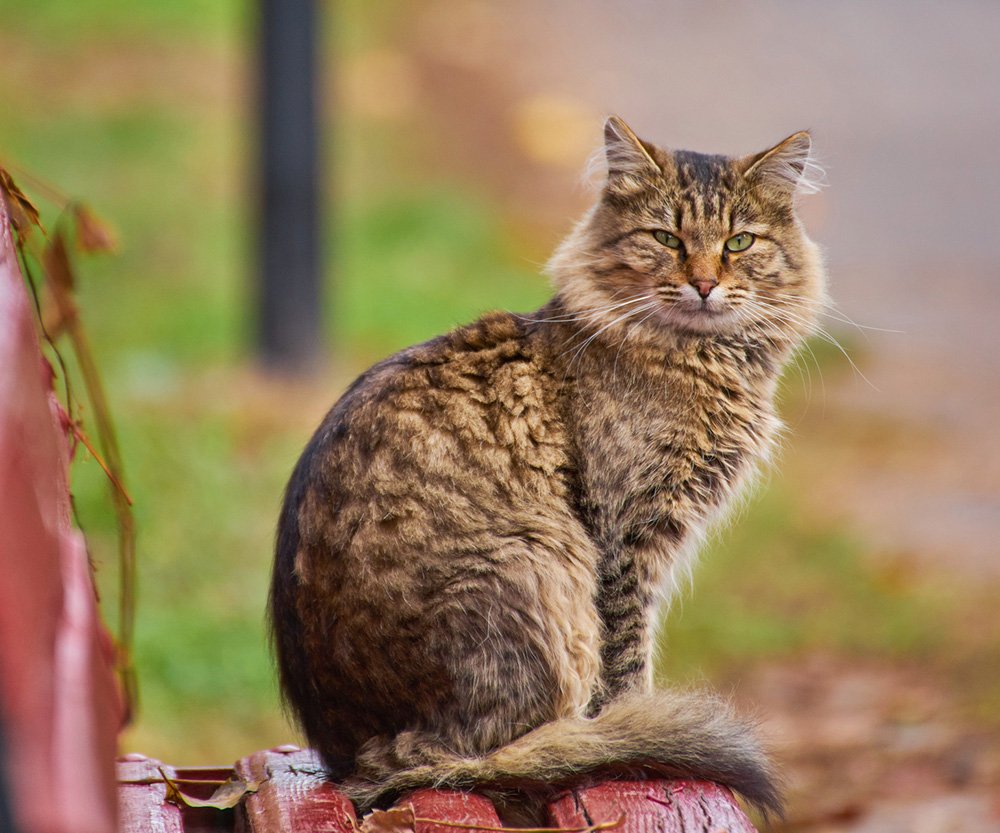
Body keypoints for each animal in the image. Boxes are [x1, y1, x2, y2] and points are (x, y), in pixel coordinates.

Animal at [270, 117, 824, 820]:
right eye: (666, 239)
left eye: (740, 242)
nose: (704, 283)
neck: (698, 358)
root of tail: (351, 754)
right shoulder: (625, 538)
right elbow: (627, 663)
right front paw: (632, 731)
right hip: (543, 562)